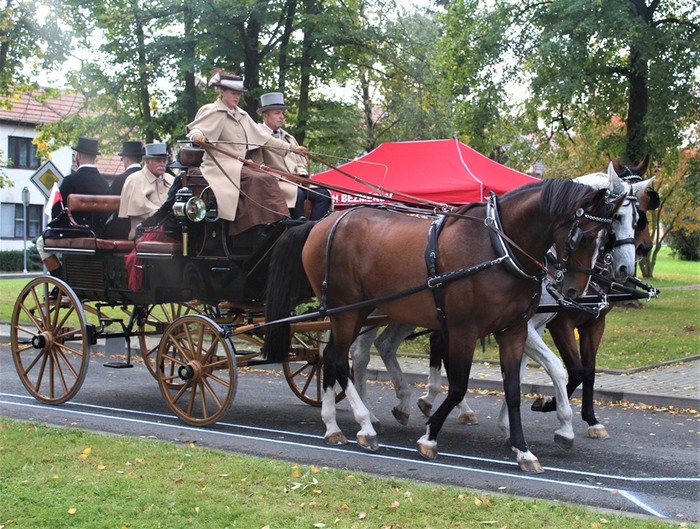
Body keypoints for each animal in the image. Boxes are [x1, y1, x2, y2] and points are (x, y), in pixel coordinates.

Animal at [263, 178, 622, 472]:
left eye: (605, 238)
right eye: (582, 236)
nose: (575, 291)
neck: (498, 249)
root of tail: (322, 224)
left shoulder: (513, 331)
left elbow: (513, 389)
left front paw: (523, 449)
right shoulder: (465, 330)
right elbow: (459, 384)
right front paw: (430, 435)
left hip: (357, 312)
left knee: (331, 357)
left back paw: (334, 425)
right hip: (346, 310)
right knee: (339, 360)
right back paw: (364, 425)